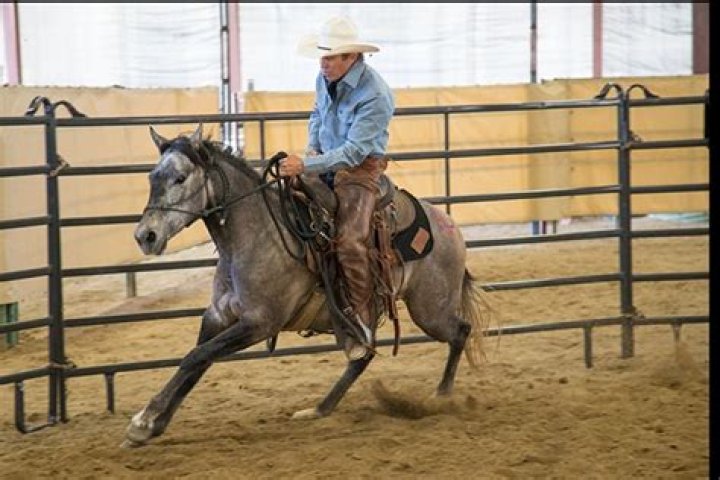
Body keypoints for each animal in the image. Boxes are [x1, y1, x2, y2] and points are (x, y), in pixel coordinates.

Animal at [124, 124, 489, 447]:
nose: (145, 236)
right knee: (363, 356)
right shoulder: (218, 316)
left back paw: (441, 397)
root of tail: (449, 225)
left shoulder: (260, 322)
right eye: (152, 178)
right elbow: (197, 360)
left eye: (180, 178)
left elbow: (195, 357)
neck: (253, 236)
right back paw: (319, 409)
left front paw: (144, 420)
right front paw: (153, 425)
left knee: (460, 331)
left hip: (429, 309)